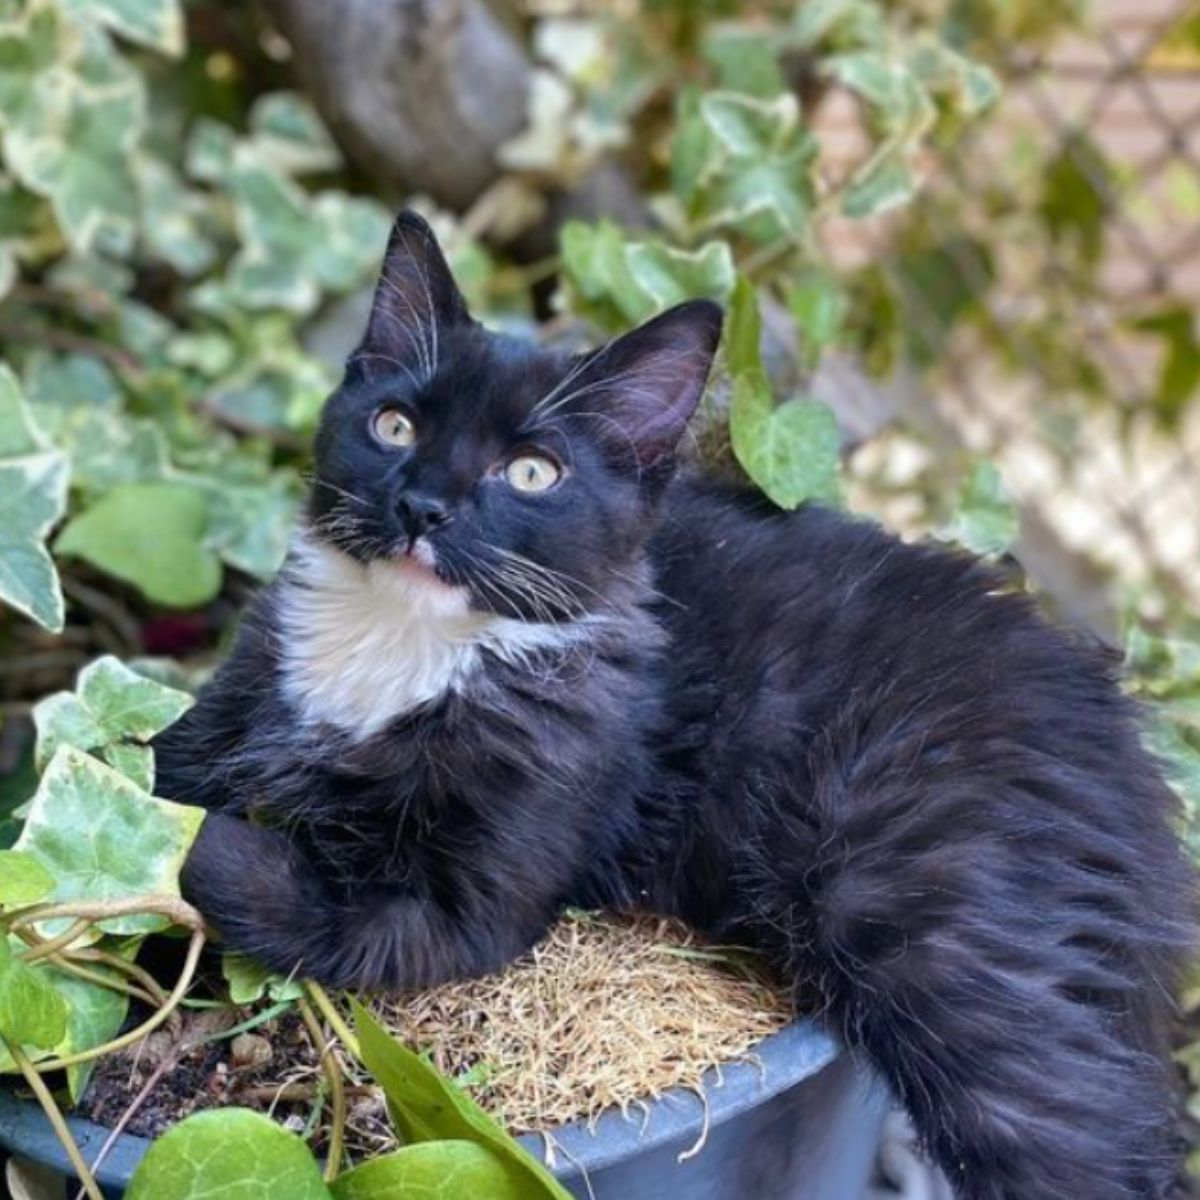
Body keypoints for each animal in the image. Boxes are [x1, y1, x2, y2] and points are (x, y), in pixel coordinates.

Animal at [157, 211, 1190, 1195]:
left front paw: (201, 843)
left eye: (531, 472)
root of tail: (1128, 749)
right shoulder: (250, 684)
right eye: (395, 426)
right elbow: (152, 757)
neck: (409, 645)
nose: (422, 507)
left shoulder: (479, 890)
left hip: (924, 907)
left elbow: (309, 910)